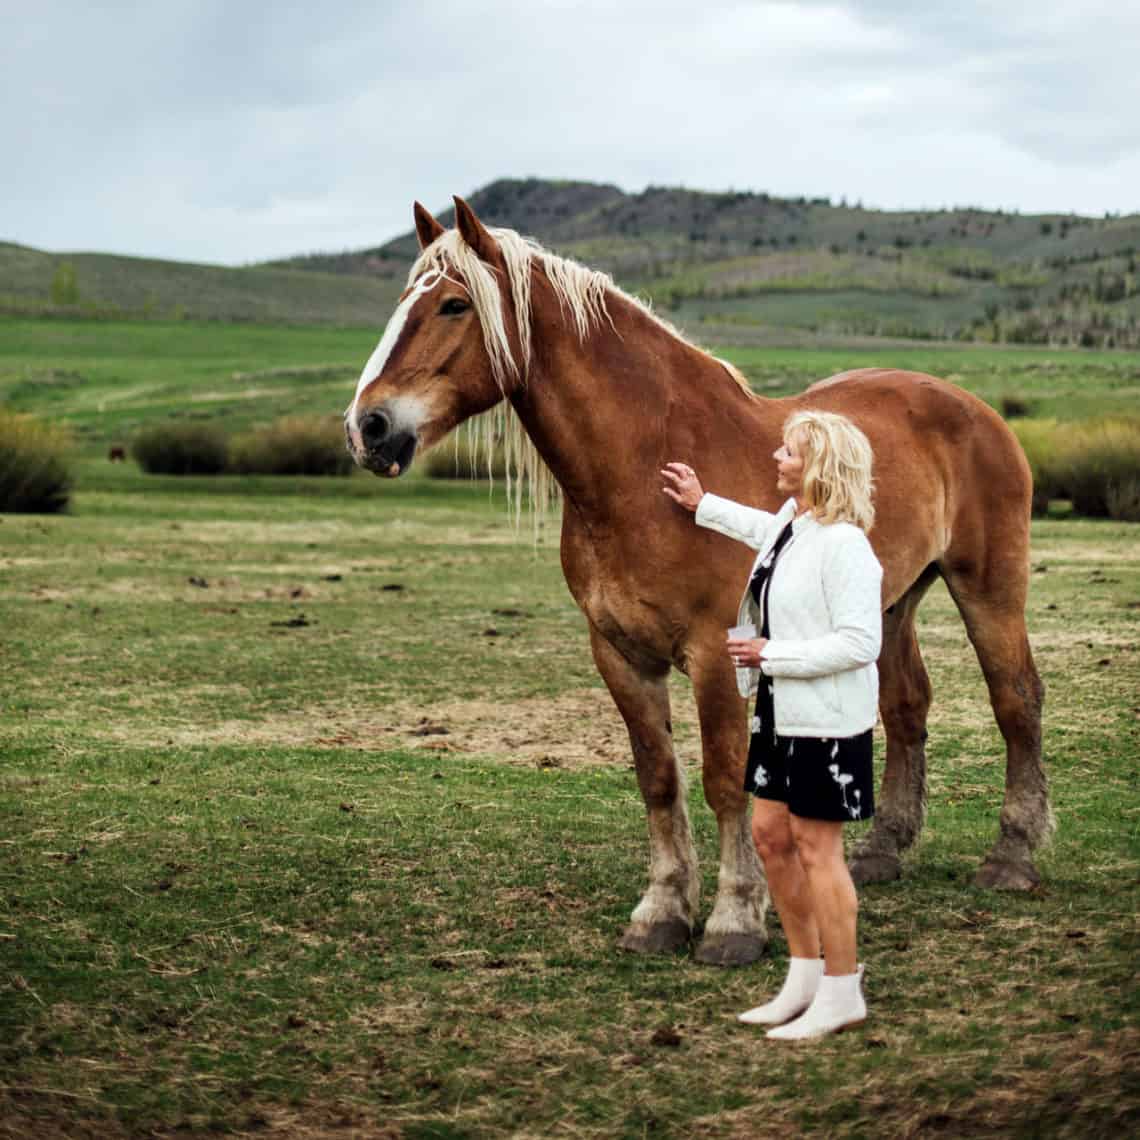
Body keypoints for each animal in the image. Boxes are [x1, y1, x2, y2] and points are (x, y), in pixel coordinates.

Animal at [339, 196, 1048, 962]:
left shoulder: (718, 652)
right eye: (404, 302)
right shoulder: (619, 654)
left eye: (453, 305)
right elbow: (658, 777)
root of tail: (975, 410)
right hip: (886, 605)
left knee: (1016, 700)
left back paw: (1012, 857)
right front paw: (662, 911)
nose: (367, 427)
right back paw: (882, 851)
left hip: (987, 588)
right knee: (907, 706)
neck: (641, 468)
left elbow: (724, 779)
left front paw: (735, 919)